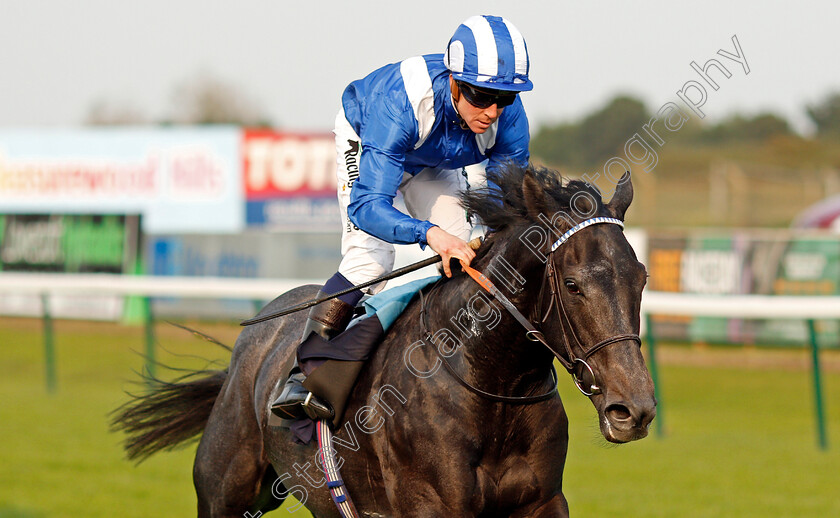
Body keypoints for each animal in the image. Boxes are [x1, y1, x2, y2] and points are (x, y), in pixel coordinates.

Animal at [111, 164, 656, 518]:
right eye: (573, 284)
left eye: (642, 278)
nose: (634, 410)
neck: (493, 386)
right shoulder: (433, 506)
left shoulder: (542, 500)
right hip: (224, 491)